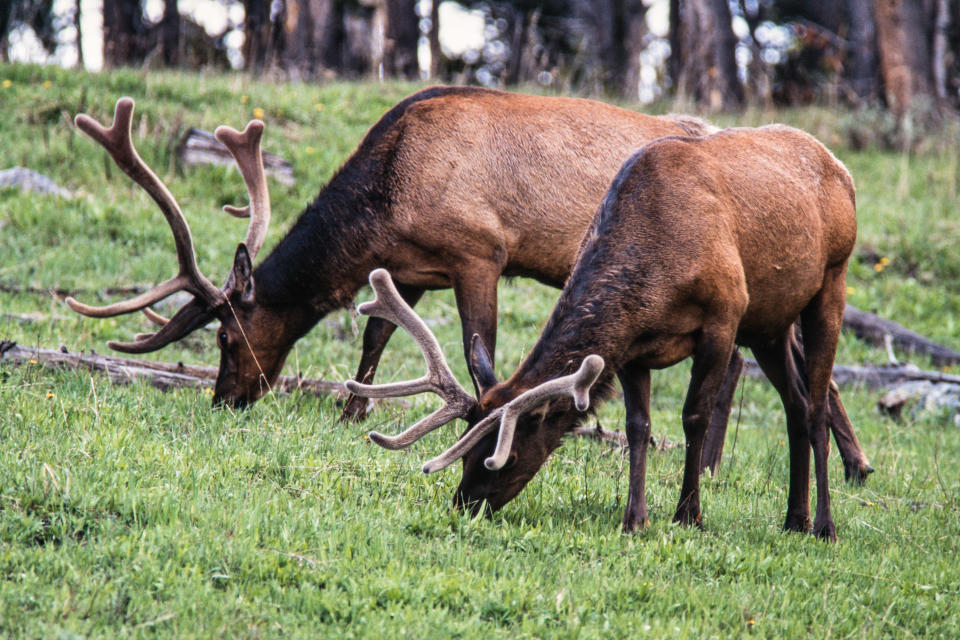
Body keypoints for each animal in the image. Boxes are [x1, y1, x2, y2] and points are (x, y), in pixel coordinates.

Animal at [65, 90, 872, 480]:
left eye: (228, 336)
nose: (225, 399)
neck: (384, 198)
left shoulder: (480, 250)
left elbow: (480, 360)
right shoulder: (410, 267)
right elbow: (376, 335)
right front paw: (352, 414)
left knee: (769, 361)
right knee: (787, 360)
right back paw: (849, 465)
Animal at [348, 124, 860, 540]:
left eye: (503, 457)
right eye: (466, 451)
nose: (464, 503)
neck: (657, 270)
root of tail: (839, 165)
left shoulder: (724, 314)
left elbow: (694, 416)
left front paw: (688, 515)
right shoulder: (632, 346)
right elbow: (638, 427)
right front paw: (635, 519)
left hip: (830, 282)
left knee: (815, 404)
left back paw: (824, 526)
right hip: (770, 324)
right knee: (794, 403)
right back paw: (793, 518)